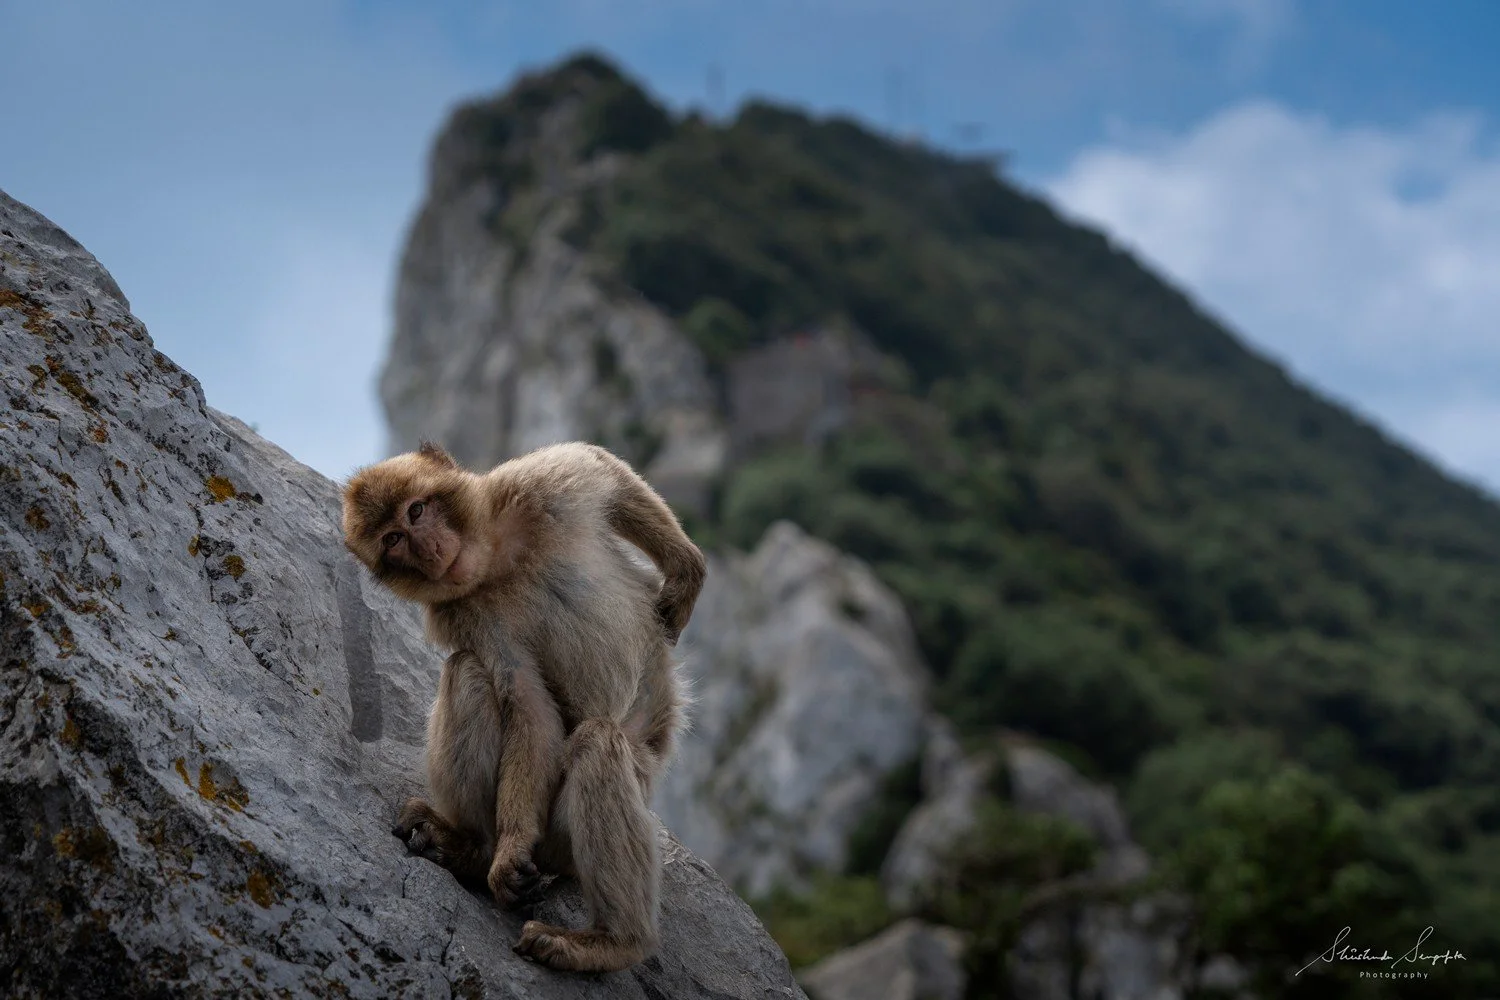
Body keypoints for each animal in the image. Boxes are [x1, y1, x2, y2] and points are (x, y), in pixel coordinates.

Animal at [340, 440, 706, 973]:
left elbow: (601, 469)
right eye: (392, 540)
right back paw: (474, 850)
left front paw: (685, 571)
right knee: (468, 673)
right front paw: (509, 853)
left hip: (582, 826)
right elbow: (528, 703)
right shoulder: (466, 615)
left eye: (416, 510)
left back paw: (614, 942)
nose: (428, 550)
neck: (494, 561)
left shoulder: (534, 488)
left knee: (598, 743)